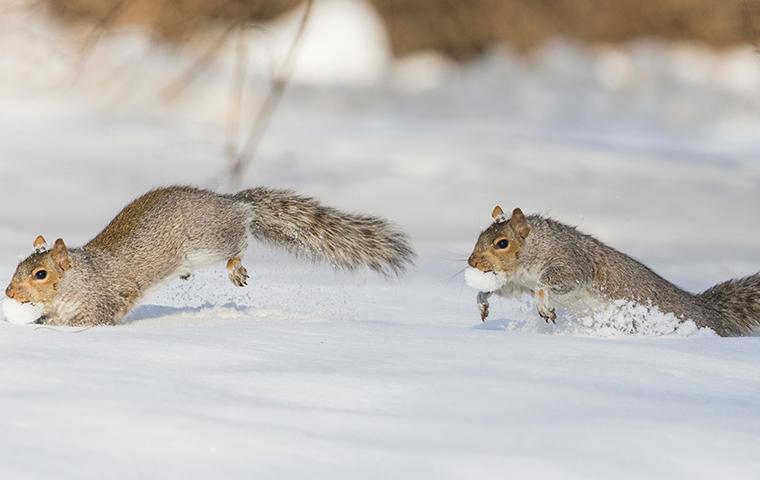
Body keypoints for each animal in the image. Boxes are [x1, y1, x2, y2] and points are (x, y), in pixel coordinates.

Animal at [4, 186, 414, 327]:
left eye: (40, 274)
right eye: (18, 266)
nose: (7, 292)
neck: (80, 277)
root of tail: (232, 202)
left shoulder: (103, 301)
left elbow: (89, 321)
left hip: (210, 242)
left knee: (239, 241)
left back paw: (236, 267)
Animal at [467, 206, 760, 337]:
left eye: (502, 243)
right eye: (479, 235)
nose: (472, 262)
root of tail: (711, 314)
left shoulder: (572, 260)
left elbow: (553, 281)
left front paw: (543, 304)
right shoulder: (519, 282)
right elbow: (506, 290)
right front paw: (482, 299)